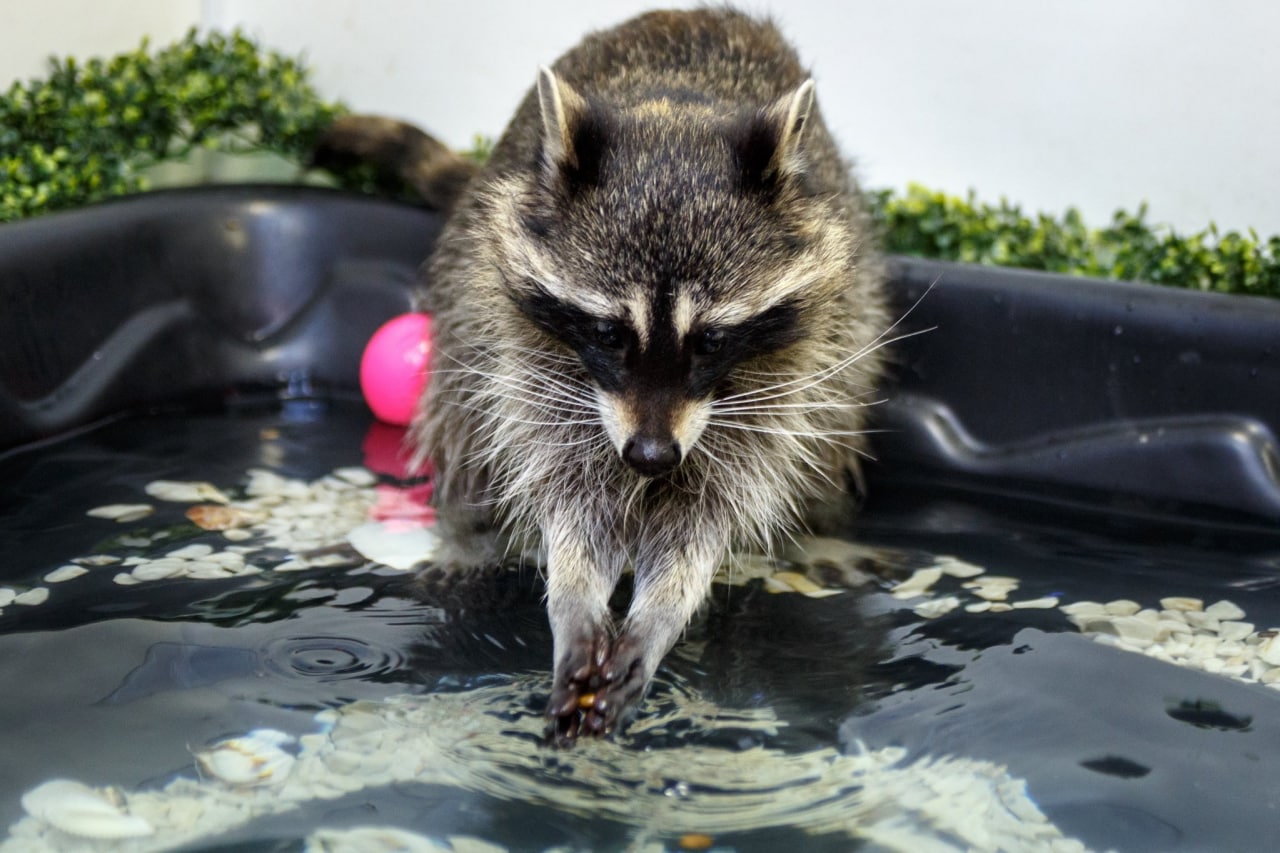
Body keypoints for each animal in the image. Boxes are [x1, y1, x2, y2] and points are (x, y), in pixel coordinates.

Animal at [332, 6, 890, 742]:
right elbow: (569, 493)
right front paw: (571, 596)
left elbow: (707, 512)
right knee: (461, 405)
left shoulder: (787, 364)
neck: (677, 111)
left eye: (711, 340)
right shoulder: (531, 354)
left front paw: (661, 611)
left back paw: (819, 524)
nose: (650, 455)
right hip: (463, 285)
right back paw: (471, 531)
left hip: (852, 325)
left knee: (832, 421)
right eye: (607, 335)